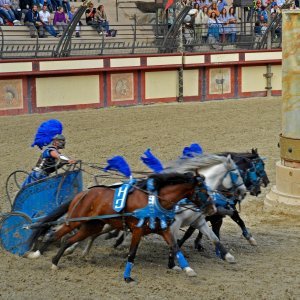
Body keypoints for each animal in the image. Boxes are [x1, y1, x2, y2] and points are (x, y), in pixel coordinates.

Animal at [25, 172, 213, 282]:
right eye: (204, 191)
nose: (212, 208)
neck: (153, 201)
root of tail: (83, 193)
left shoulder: (164, 229)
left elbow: (175, 247)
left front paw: (188, 269)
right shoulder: (137, 230)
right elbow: (132, 253)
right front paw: (127, 277)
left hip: (92, 226)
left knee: (68, 240)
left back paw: (55, 262)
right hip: (75, 221)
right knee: (54, 235)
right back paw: (36, 254)